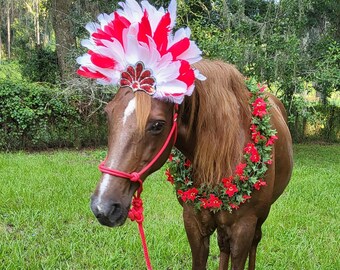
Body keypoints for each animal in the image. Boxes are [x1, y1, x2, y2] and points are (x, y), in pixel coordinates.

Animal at [91, 59, 294, 270]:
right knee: (224, 245)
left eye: (157, 125)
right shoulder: (193, 223)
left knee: (255, 241)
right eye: (108, 113)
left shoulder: (243, 228)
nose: (103, 207)